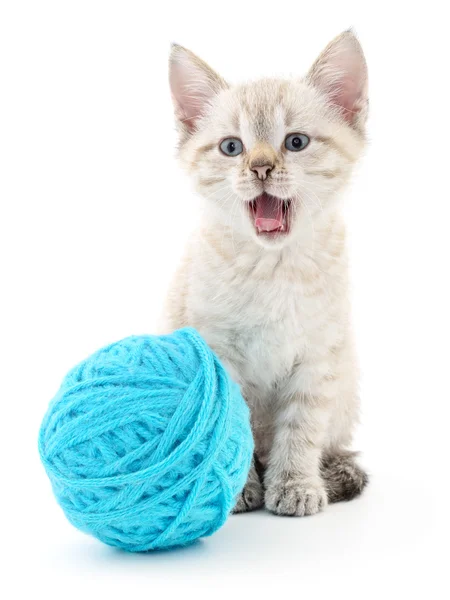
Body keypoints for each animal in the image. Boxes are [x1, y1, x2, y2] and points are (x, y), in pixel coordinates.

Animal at [162, 30, 370, 512]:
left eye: (295, 142)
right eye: (231, 147)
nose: (259, 167)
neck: (274, 268)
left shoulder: (319, 355)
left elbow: (301, 429)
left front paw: (295, 485)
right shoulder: (218, 352)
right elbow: (229, 429)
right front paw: (236, 489)